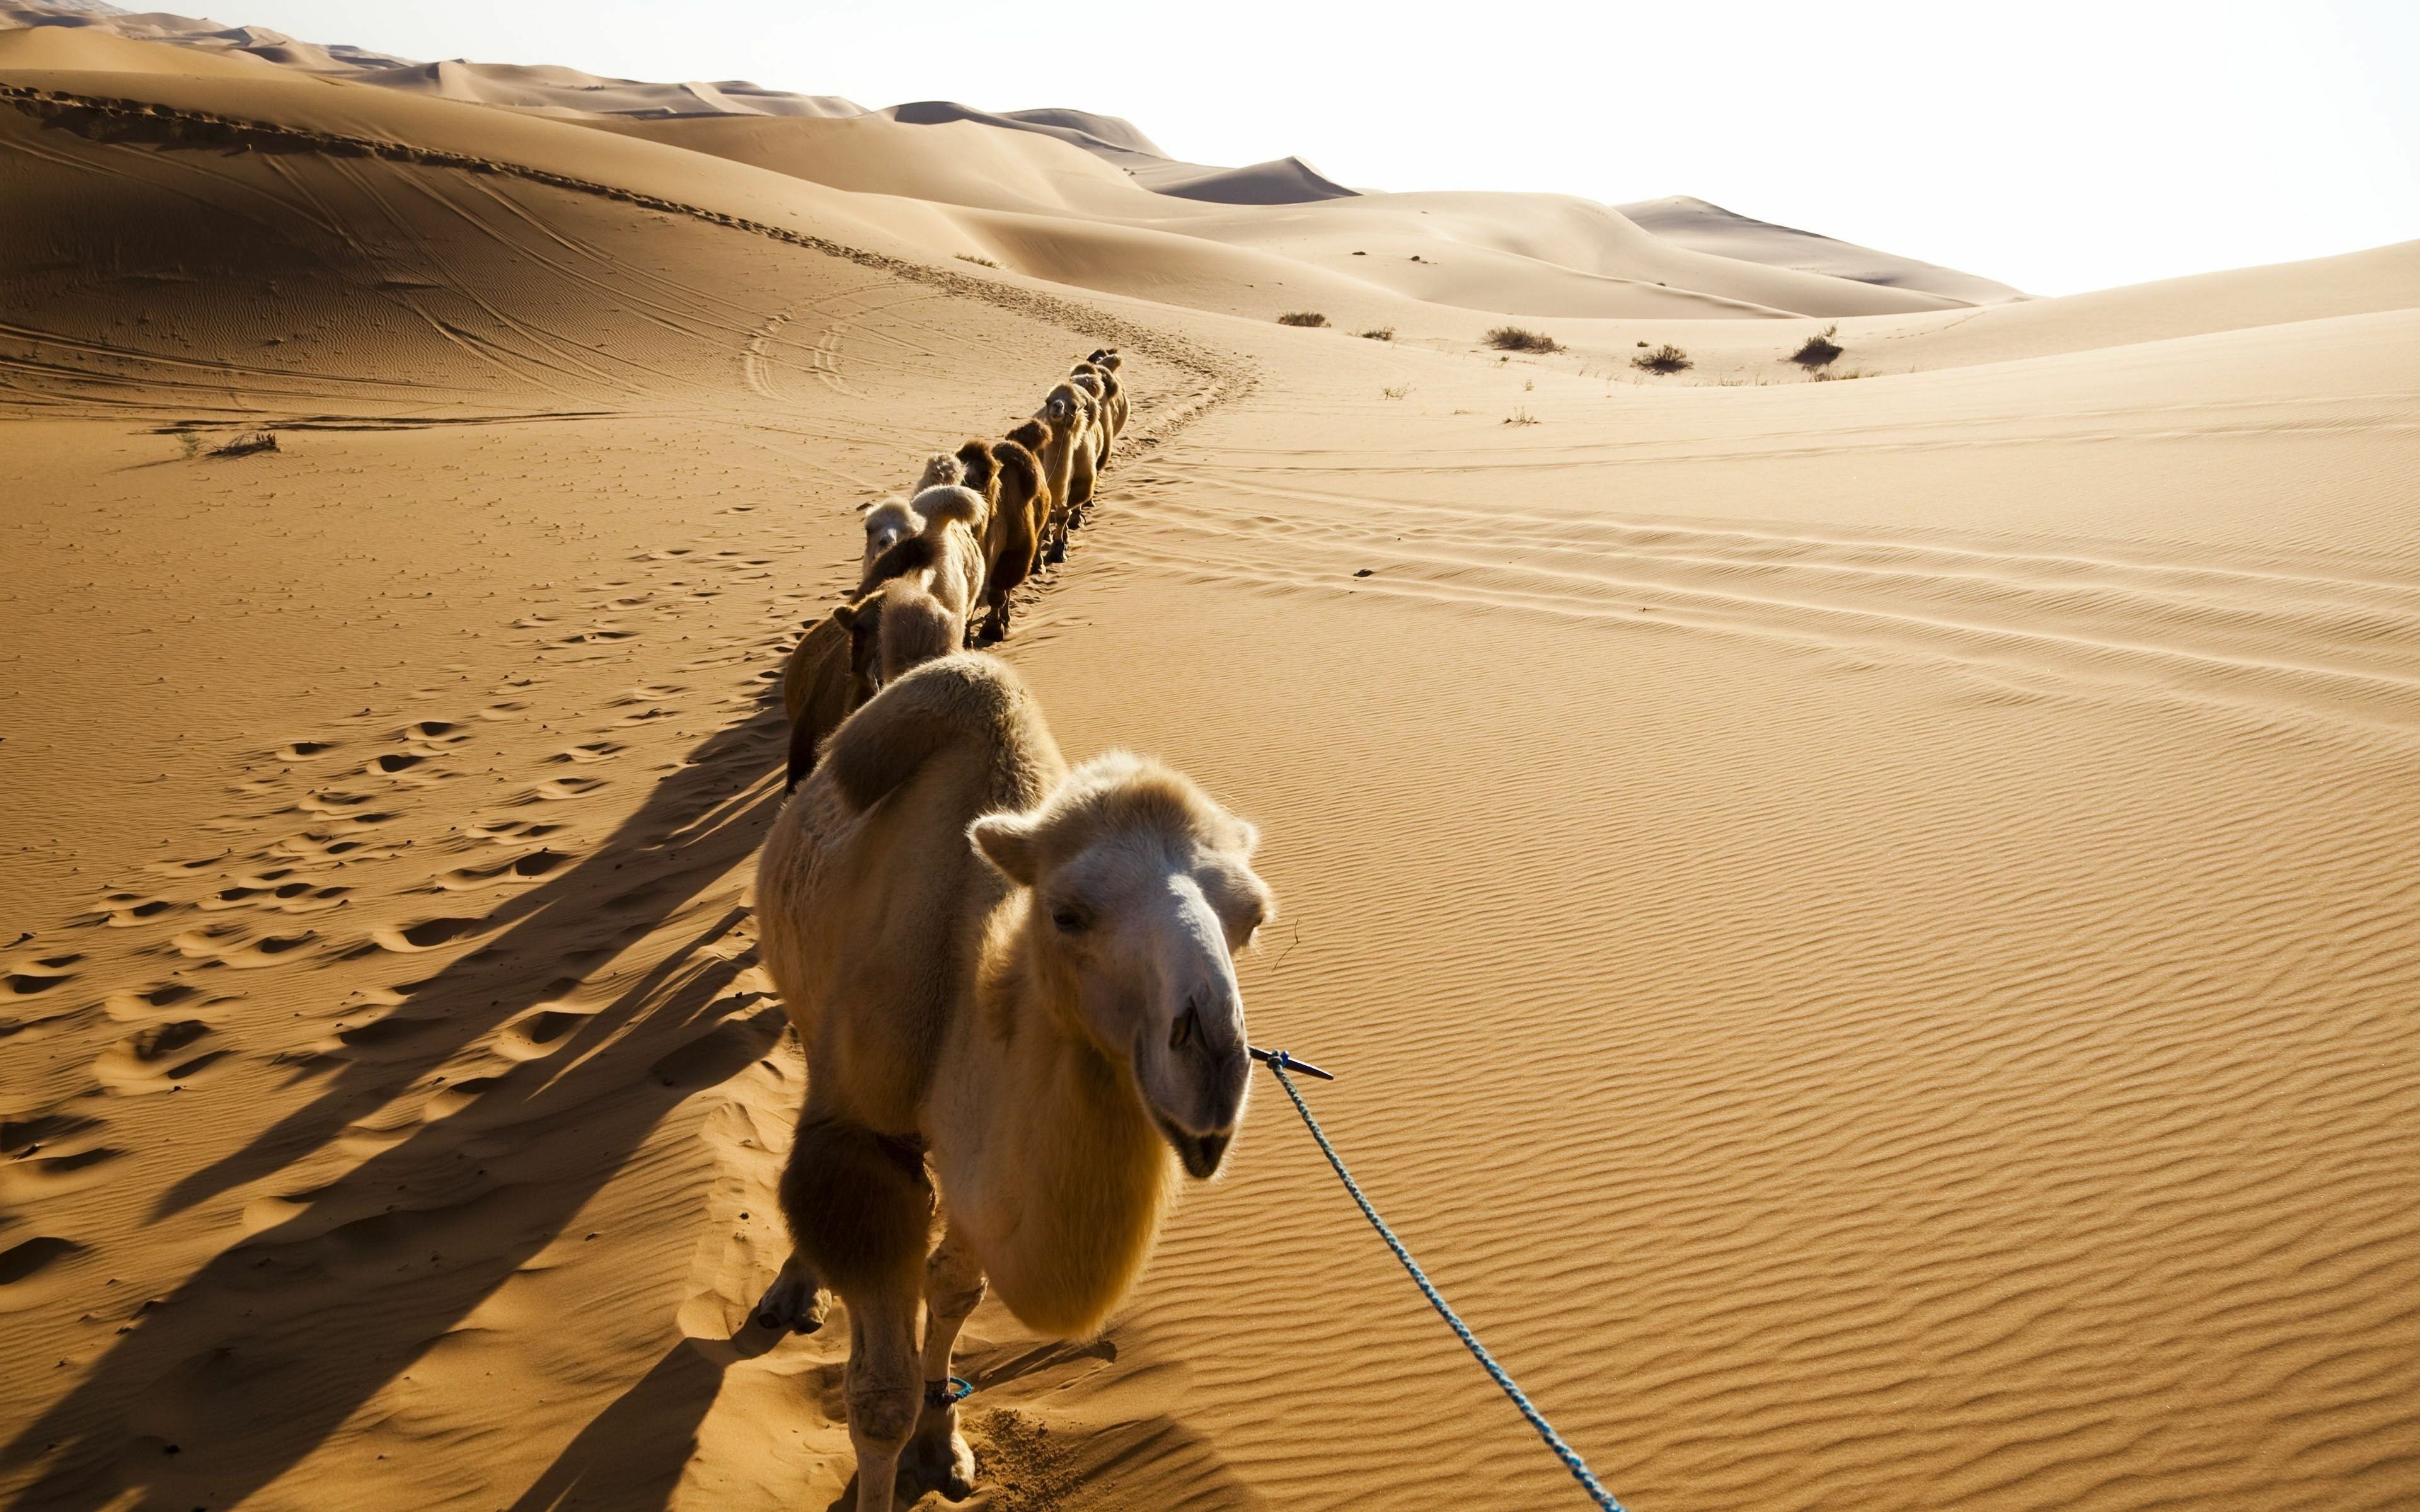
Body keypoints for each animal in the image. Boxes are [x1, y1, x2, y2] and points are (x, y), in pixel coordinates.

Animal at [755, 653, 1277, 1509]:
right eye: (1067, 915)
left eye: (1253, 920)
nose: (1211, 1067)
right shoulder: (868, 1140)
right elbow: (879, 1400)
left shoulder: (980, 1163)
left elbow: (953, 1289)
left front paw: (943, 1446)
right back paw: (792, 1293)